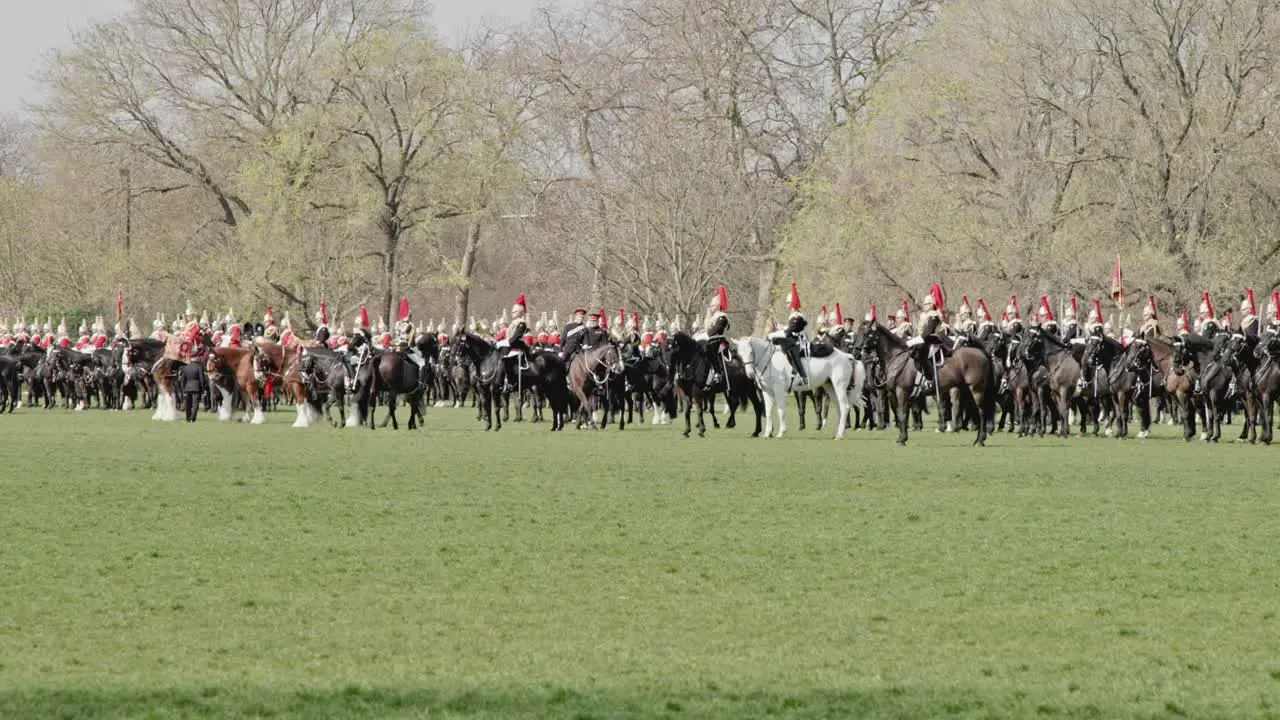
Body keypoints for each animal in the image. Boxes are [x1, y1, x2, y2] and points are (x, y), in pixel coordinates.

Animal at [737, 335, 865, 438]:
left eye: (751, 352)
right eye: (739, 354)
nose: (750, 374)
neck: (770, 362)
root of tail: (846, 356)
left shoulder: (779, 391)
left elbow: (780, 410)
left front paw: (781, 432)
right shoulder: (767, 393)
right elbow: (768, 413)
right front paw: (767, 433)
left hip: (839, 386)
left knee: (845, 407)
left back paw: (839, 435)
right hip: (831, 388)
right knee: (840, 408)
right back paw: (840, 433)